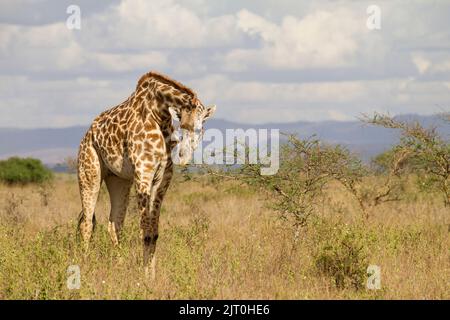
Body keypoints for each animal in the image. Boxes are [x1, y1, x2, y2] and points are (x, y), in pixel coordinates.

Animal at [77, 70, 216, 278]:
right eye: (181, 126)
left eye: (199, 128)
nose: (183, 156)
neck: (159, 115)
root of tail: (87, 135)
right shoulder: (143, 174)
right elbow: (144, 231)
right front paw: (145, 277)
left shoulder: (163, 179)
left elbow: (154, 232)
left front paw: (151, 275)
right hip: (89, 172)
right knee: (87, 223)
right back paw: (84, 266)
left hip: (119, 180)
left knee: (114, 224)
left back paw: (120, 268)